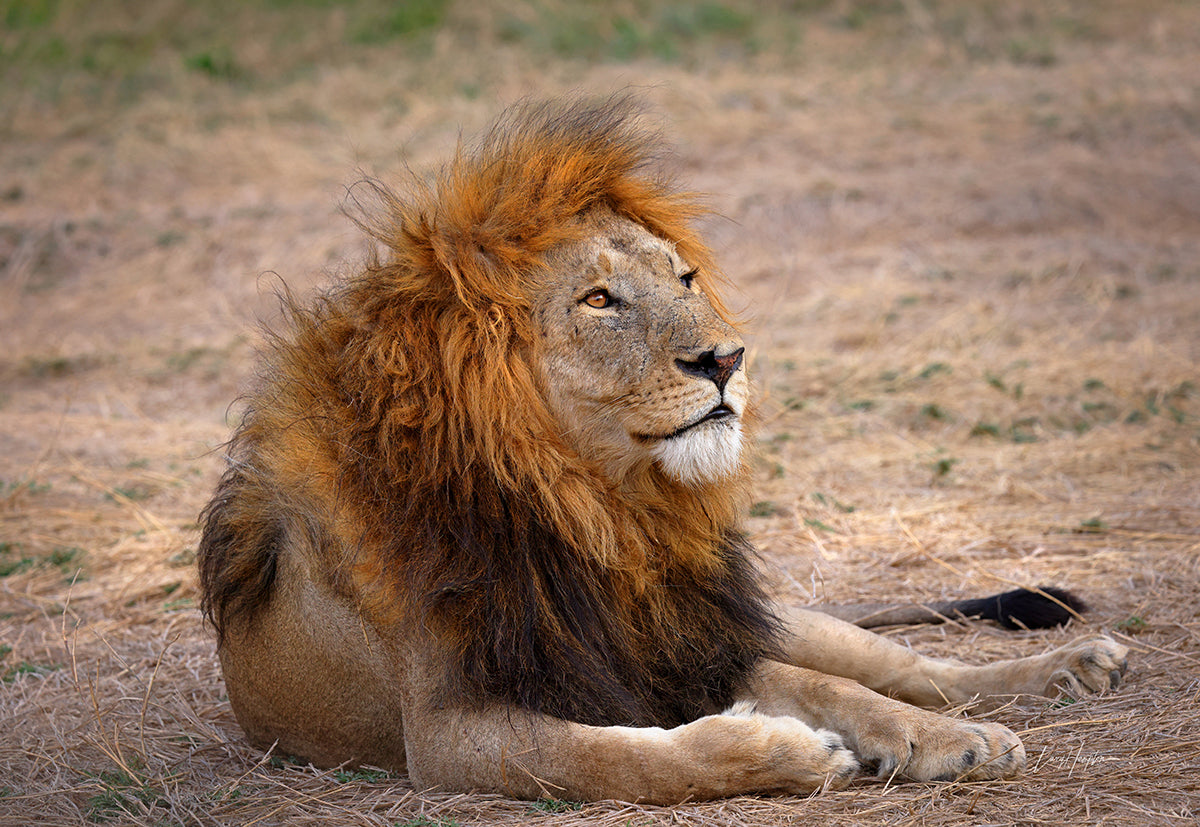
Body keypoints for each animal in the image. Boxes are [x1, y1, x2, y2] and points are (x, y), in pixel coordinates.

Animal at [198, 97, 1129, 803]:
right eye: (599, 300)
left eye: (684, 278)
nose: (726, 358)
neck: (602, 508)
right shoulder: (449, 731)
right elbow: (621, 757)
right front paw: (790, 751)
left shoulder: (682, 641)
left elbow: (835, 687)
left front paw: (929, 736)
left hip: (776, 614)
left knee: (909, 662)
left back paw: (1065, 669)